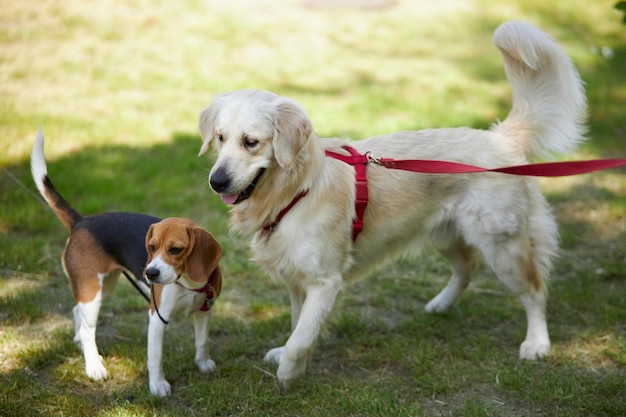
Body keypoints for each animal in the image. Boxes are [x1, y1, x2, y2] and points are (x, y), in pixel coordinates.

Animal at [199, 22, 584, 386]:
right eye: (219, 138)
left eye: (250, 142)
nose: (216, 182)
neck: (295, 192)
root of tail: (501, 138)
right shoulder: (296, 276)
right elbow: (298, 325)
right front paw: (291, 358)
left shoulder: (325, 280)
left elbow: (302, 335)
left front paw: (289, 372)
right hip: (446, 234)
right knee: (466, 269)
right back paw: (441, 304)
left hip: (503, 246)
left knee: (535, 292)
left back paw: (537, 343)